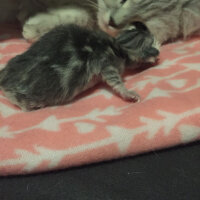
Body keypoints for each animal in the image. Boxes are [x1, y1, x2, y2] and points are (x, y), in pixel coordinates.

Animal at [0, 23, 159, 111]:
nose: (157, 55)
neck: (119, 45)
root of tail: (5, 77)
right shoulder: (106, 63)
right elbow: (114, 80)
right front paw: (129, 93)